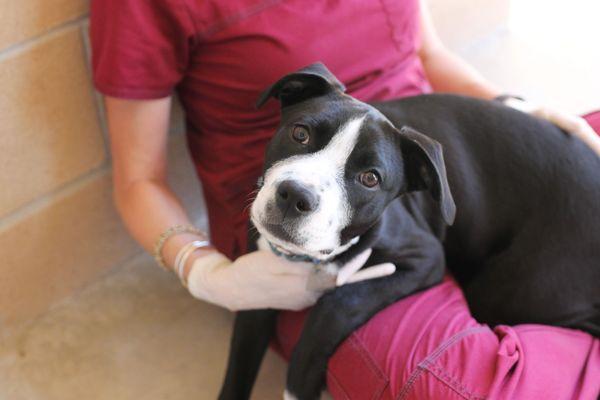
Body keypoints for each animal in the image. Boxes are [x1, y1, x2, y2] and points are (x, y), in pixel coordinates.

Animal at [219, 63, 600, 400]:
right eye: (300, 133)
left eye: (370, 178)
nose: (296, 195)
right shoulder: (259, 283)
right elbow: (238, 364)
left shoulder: (423, 258)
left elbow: (337, 304)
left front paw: (298, 385)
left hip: (509, 287)